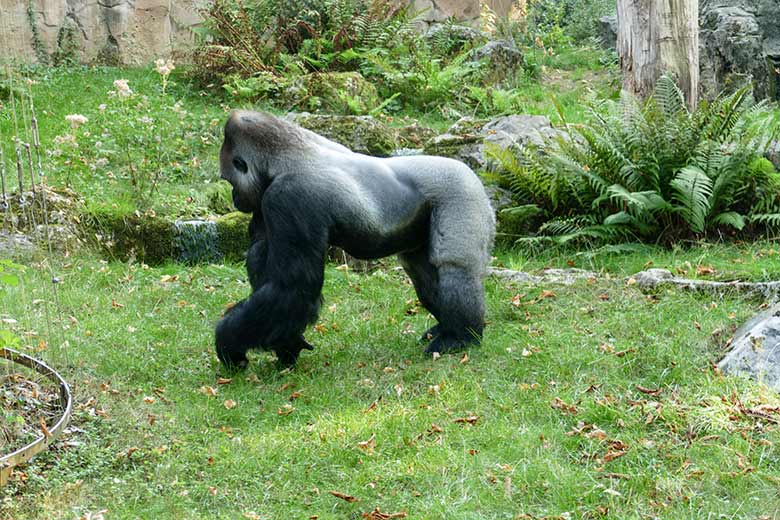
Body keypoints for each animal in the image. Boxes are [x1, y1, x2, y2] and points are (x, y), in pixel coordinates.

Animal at [213, 111, 494, 368]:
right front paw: (286, 342)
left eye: (228, 179)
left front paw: (229, 342)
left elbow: (290, 287)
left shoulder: (287, 195)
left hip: (461, 191)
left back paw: (460, 336)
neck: (285, 157)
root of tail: (468, 170)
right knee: (422, 274)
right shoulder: (265, 202)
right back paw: (445, 327)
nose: (235, 198)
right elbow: (267, 270)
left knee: (455, 269)